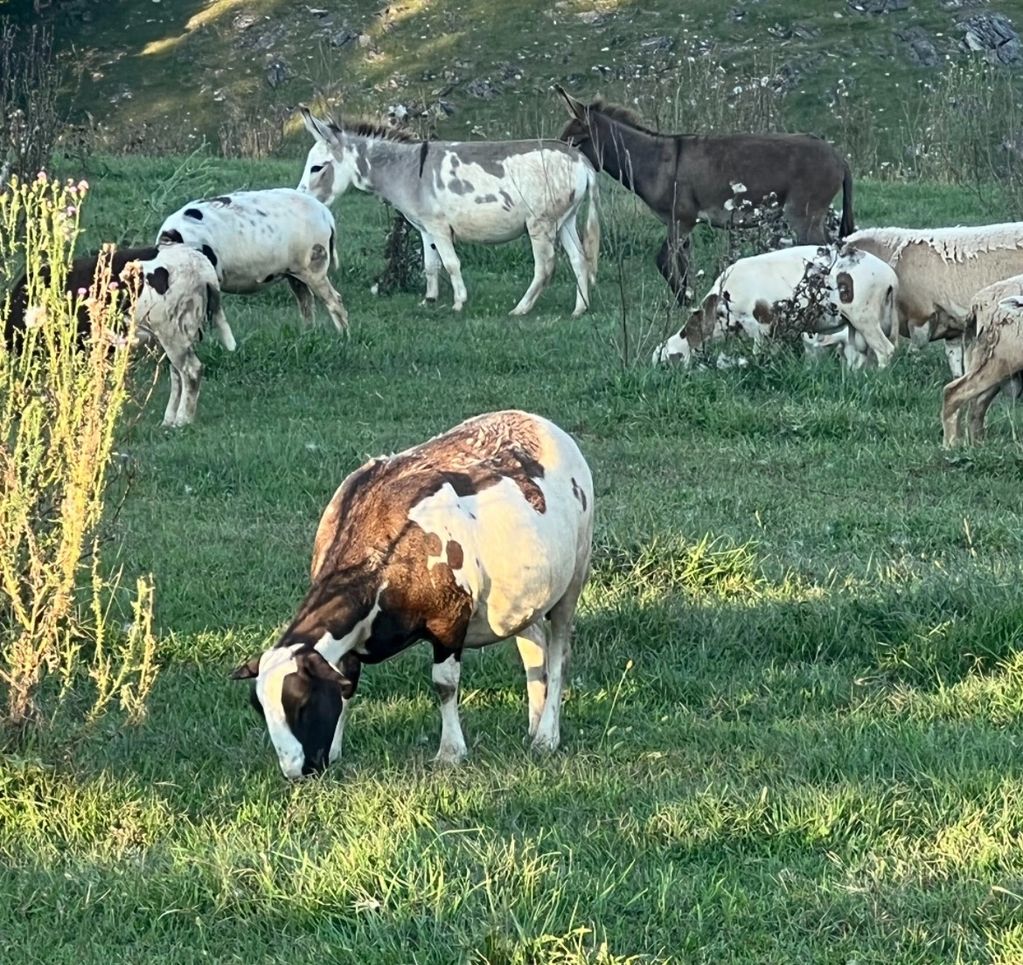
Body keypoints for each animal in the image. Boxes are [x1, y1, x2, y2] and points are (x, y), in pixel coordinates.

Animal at [157, 188, 349, 335]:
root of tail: (326, 214)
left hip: (314, 264)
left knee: (334, 300)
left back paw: (343, 336)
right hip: (295, 271)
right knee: (306, 303)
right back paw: (307, 334)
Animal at [230, 407, 593, 777]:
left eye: (302, 704)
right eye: (259, 708)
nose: (295, 771)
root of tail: (536, 420)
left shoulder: (449, 618)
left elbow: (444, 684)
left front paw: (451, 752)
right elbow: (347, 686)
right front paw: (335, 750)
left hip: (575, 573)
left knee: (559, 655)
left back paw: (547, 736)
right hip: (522, 599)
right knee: (534, 651)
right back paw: (535, 725)